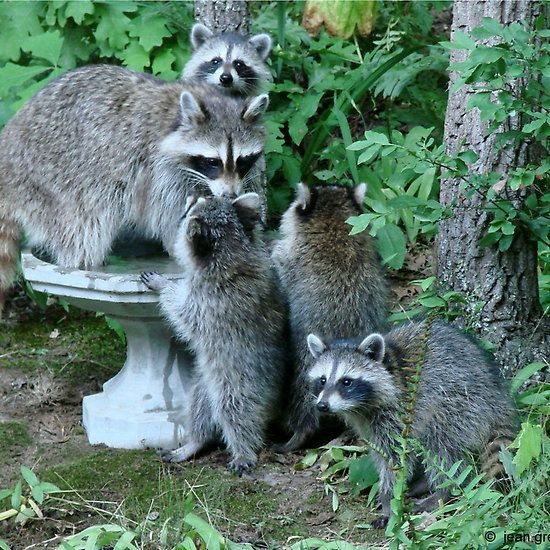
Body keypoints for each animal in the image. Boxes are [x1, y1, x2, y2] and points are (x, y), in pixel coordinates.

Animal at [0, 64, 270, 310]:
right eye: (213, 162)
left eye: (243, 161)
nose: (230, 193)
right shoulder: (158, 168)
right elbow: (168, 213)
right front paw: (180, 247)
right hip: (55, 177)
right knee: (85, 225)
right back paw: (86, 264)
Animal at [140, 195, 286, 478]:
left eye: (188, 209)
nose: (189, 197)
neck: (234, 253)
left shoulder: (211, 301)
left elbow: (183, 314)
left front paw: (164, 286)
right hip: (205, 384)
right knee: (200, 407)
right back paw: (195, 441)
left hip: (239, 382)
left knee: (236, 411)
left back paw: (243, 449)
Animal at [308, 324, 520, 532]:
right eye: (322, 380)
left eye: (346, 381)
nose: (322, 406)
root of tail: (497, 398)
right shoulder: (369, 426)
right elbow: (382, 456)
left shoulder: (401, 412)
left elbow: (396, 460)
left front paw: (390, 501)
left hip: (458, 405)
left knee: (441, 447)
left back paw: (443, 492)